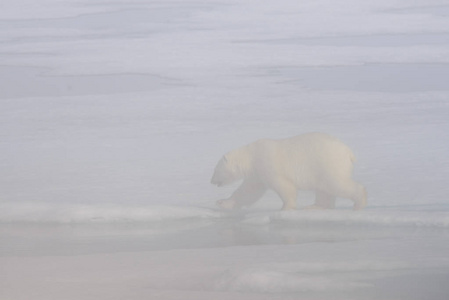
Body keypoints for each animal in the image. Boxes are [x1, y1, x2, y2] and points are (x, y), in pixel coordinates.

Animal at [209, 132, 364, 210]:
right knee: (324, 189)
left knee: (336, 183)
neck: (252, 155)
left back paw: (359, 202)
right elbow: (248, 191)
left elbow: (284, 186)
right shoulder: (257, 173)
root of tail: (349, 153)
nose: (211, 181)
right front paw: (222, 202)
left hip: (327, 162)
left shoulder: (267, 163)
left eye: (215, 170)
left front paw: (286, 207)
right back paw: (314, 206)